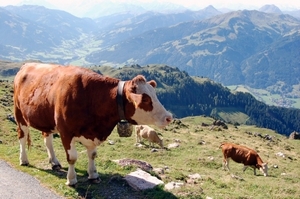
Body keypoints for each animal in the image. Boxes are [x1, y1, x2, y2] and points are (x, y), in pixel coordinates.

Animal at [13, 62, 173, 185]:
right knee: (22, 137)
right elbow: (72, 158)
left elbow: (93, 154)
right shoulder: (66, 132)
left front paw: (93, 175)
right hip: (20, 115)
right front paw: (72, 180)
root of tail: (26, 65)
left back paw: (54, 162)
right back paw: (24, 160)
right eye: (145, 99)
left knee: (48, 139)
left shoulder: (92, 132)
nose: (169, 117)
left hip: (46, 119)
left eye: (155, 95)